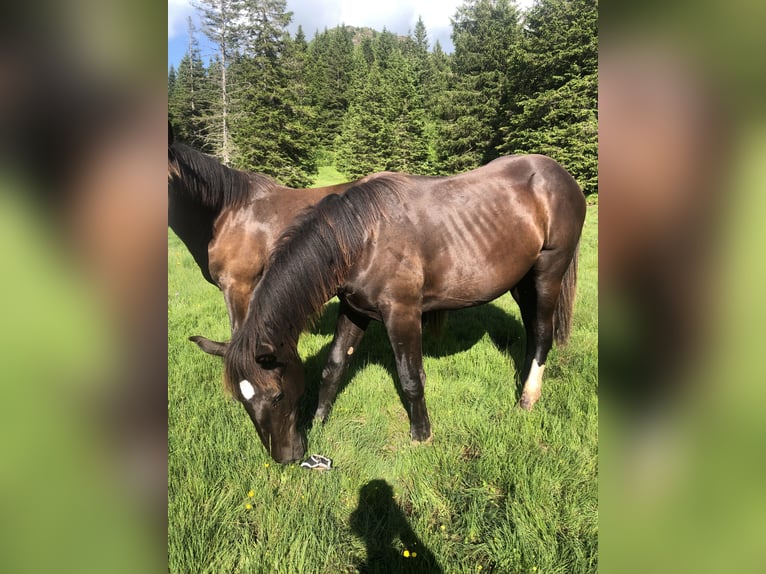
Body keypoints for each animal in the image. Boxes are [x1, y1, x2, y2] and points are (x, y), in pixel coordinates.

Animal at [225, 155, 584, 466]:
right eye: (243, 401)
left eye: (276, 395)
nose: (285, 457)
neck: (362, 237)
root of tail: (559, 174)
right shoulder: (354, 310)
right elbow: (334, 366)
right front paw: (320, 419)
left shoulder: (402, 314)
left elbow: (411, 378)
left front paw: (422, 435)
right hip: (522, 281)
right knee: (531, 332)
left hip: (548, 272)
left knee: (542, 333)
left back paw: (527, 399)